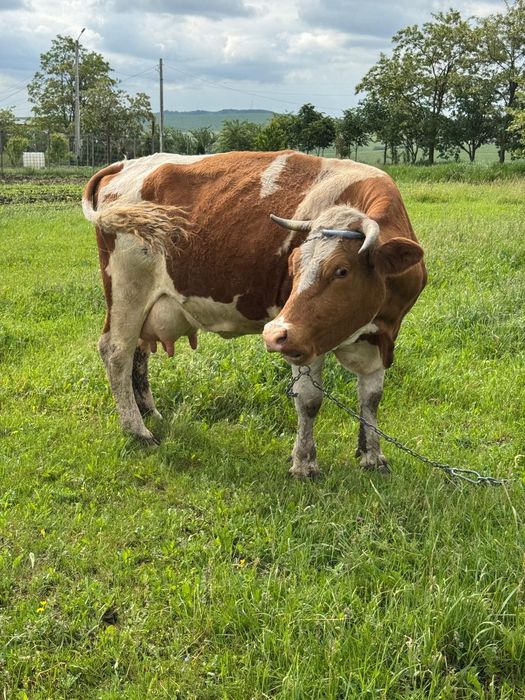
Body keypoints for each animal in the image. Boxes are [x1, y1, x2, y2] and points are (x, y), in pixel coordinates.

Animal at [82, 151, 426, 478]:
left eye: (342, 270)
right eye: (293, 265)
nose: (273, 333)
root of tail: (124, 164)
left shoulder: (382, 336)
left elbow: (371, 398)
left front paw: (373, 456)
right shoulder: (303, 338)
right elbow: (309, 400)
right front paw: (304, 464)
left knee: (139, 354)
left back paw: (149, 413)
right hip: (128, 290)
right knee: (117, 352)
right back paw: (137, 430)